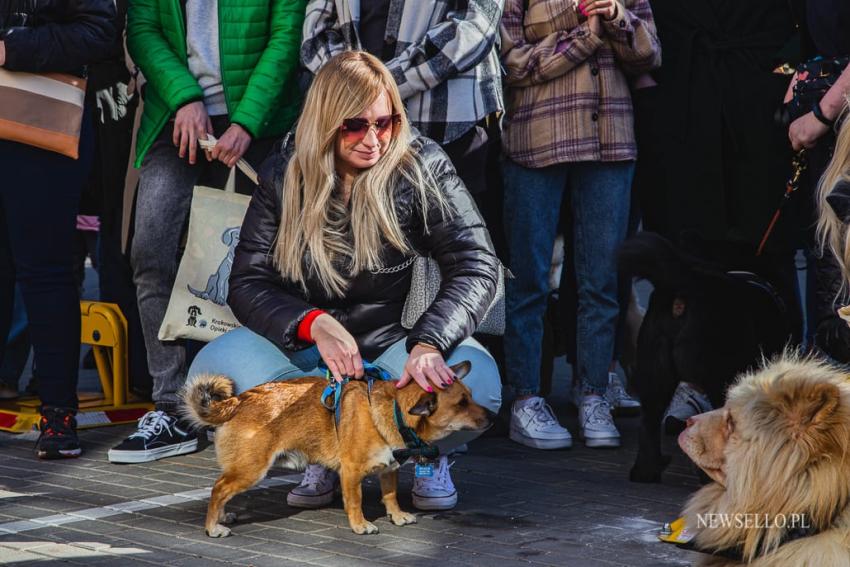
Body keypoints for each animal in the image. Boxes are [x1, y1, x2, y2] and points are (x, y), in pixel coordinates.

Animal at [182, 362, 486, 540]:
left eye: (471, 396)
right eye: (461, 404)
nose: (492, 417)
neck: (395, 410)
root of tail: (236, 401)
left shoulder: (389, 468)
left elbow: (390, 496)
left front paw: (397, 516)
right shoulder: (350, 471)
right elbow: (355, 501)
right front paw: (360, 524)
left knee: (222, 490)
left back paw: (221, 516)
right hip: (251, 469)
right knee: (218, 489)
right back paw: (212, 527)